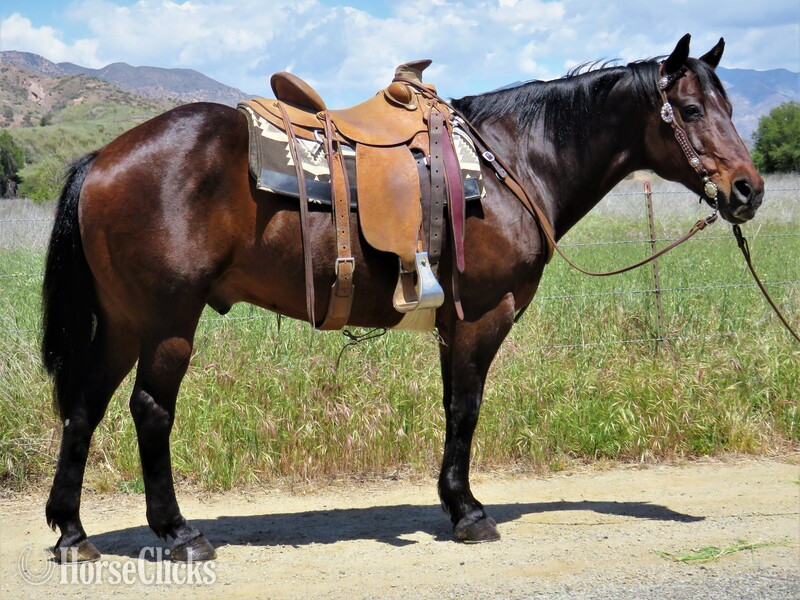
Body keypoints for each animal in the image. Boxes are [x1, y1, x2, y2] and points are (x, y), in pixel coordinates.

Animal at [42, 34, 763, 562]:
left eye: (731, 109)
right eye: (691, 111)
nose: (748, 189)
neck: (512, 161)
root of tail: (102, 158)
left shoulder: (453, 322)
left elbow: (454, 407)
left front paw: (454, 502)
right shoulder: (483, 314)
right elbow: (465, 408)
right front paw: (468, 512)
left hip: (123, 322)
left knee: (83, 408)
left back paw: (72, 532)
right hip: (167, 320)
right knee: (149, 410)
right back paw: (178, 533)